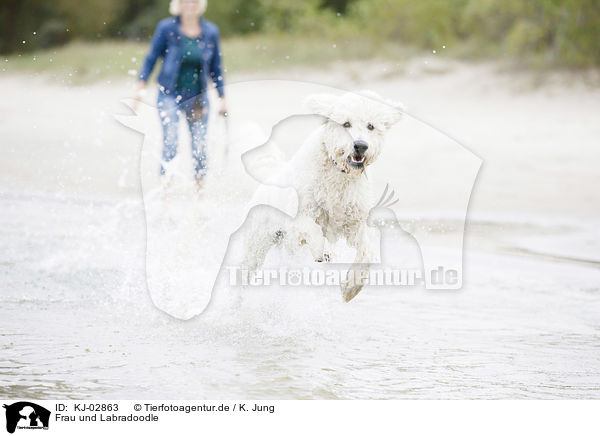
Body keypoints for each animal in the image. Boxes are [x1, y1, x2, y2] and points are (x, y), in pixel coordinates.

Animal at [240, 91, 404, 304]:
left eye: (371, 126)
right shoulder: (300, 218)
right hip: (257, 244)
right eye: (346, 124)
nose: (360, 146)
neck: (339, 172)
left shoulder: (355, 222)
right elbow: (313, 229)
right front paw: (320, 250)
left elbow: (368, 253)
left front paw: (351, 288)